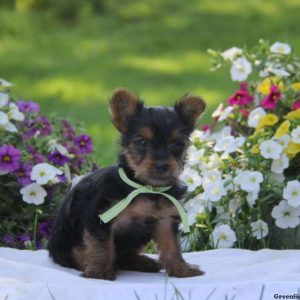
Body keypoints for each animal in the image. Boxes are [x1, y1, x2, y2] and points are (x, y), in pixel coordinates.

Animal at [48, 88, 206, 280]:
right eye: (142, 142)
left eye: (177, 144)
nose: (162, 165)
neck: (146, 188)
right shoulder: (99, 216)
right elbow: (102, 246)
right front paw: (100, 272)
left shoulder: (166, 220)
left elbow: (172, 246)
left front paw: (181, 270)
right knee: (82, 254)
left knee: (125, 257)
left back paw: (143, 262)